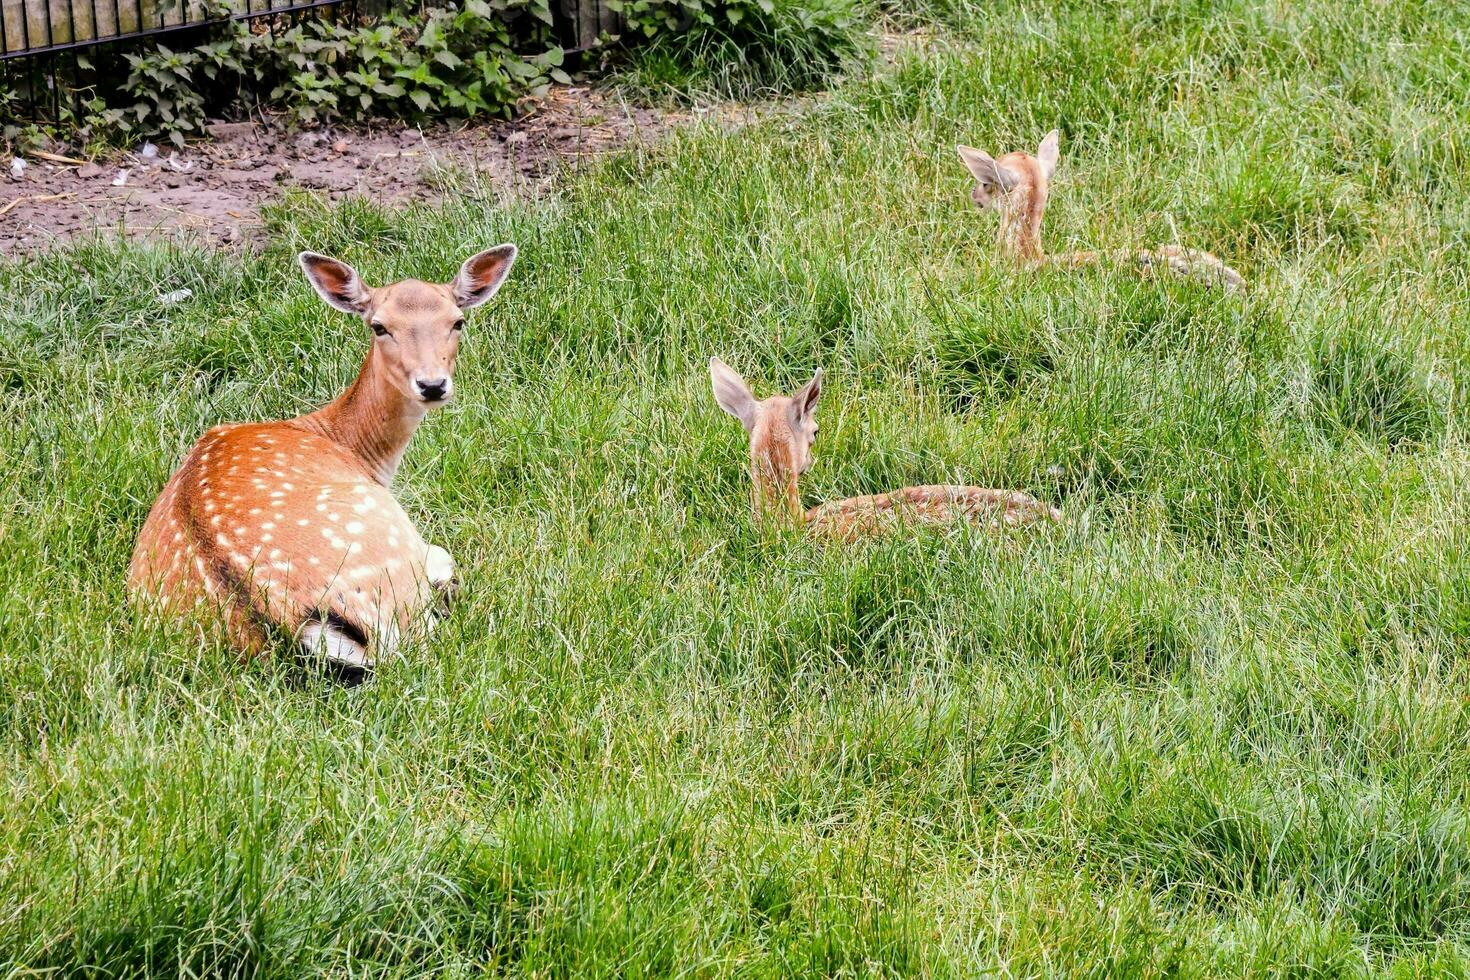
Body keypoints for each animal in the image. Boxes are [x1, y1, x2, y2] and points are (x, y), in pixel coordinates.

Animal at [127, 246, 517, 675]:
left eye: (457, 321)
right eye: (379, 326)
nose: (432, 385)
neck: (346, 443)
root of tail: (287, 627)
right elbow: (443, 557)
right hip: (393, 566)